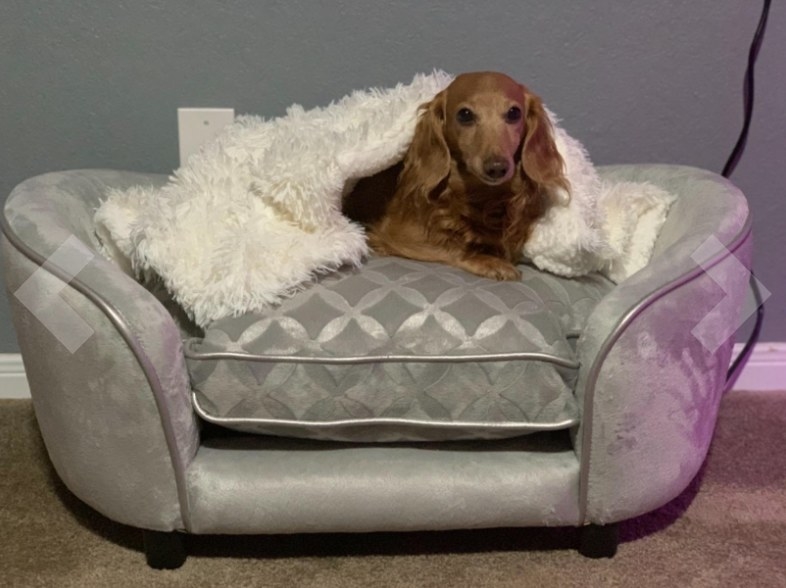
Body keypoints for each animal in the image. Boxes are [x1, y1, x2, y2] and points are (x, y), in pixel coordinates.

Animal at [342, 72, 564, 282]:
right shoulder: (397, 235)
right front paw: (491, 262)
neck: (481, 198)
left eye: (514, 113)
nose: (497, 168)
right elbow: (454, 247)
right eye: (465, 114)